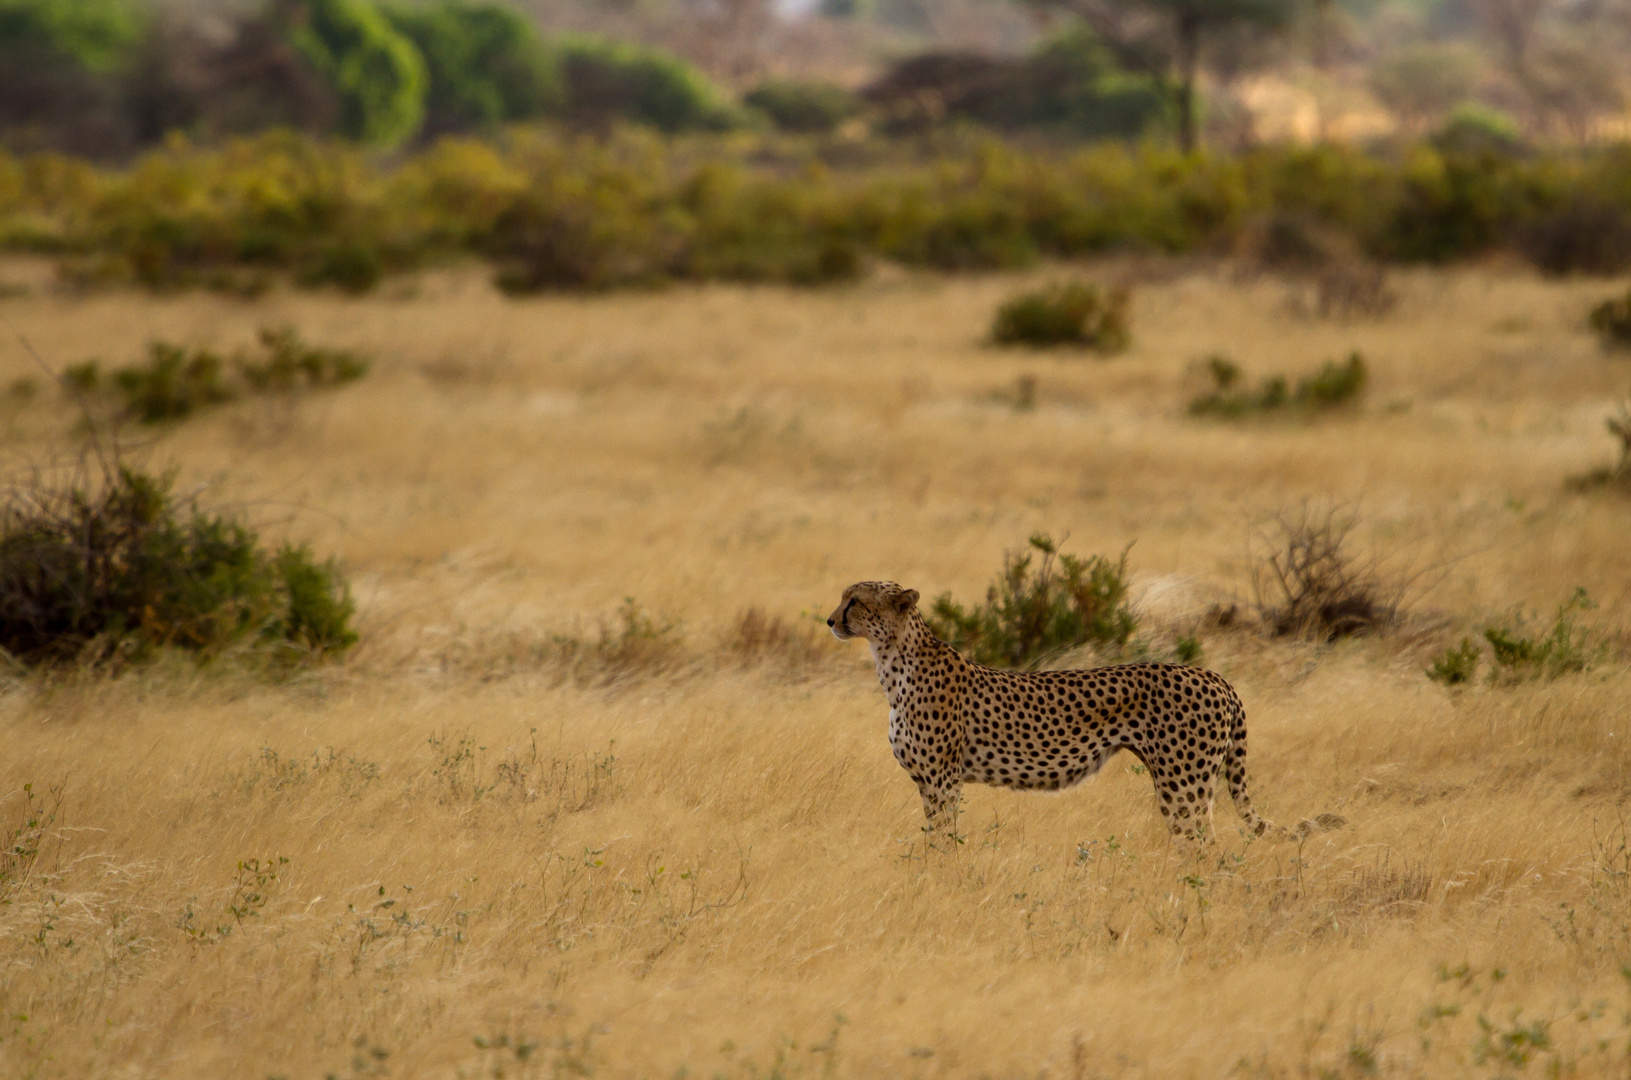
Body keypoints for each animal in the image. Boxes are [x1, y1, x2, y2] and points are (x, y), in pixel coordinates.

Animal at [828, 580, 1272, 841]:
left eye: (856, 601)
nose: (830, 620)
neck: (893, 661)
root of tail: (1214, 675)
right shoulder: (927, 782)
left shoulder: (943, 781)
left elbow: (940, 840)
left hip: (1183, 784)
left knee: (1203, 847)